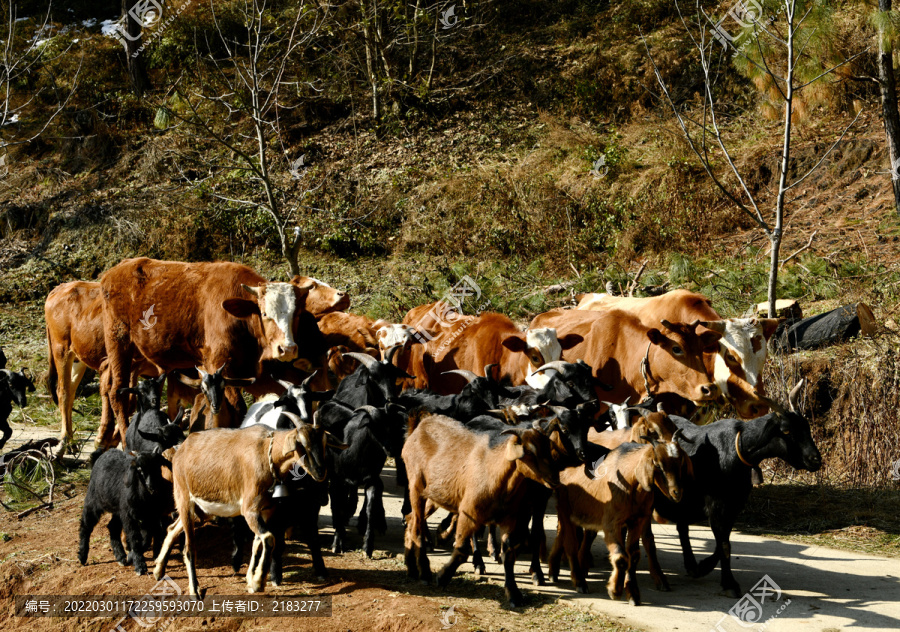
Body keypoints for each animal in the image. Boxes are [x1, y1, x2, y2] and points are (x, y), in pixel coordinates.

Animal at [78, 446, 170, 576]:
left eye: (157, 466)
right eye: (139, 469)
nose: (151, 485)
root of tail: (102, 454)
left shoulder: (150, 515)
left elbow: (147, 537)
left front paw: (132, 556)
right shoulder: (129, 515)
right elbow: (134, 537)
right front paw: (140, 565)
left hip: (118, 509)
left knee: (112, 527)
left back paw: (120, 557)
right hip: (93, 501)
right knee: (85, 526)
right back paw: (82, 556)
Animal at [402, 414, 560, 608]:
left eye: (548, 447)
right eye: (529, 452)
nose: (554, 478)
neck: (496, 474)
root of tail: (418, 428)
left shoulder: (510, 519)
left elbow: (509, 554)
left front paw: (513, 594)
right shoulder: (468, 512)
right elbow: (462, 550)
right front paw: (442, 577)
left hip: (434, 495)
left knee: (410, 519)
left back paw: (410, 567)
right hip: (416, 486)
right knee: (417, 526)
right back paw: (424, 573)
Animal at [548, 432, 688, 604]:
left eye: (680, 463)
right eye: (658, 465)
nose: (677, 492)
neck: (629, 480)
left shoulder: (637, 521)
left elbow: (633, 555)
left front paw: (633, 594)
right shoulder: (612, 524)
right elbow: (621, 557)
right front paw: (615, 590)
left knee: (562, 535)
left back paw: (554, 571)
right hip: (565, 510)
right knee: (570, 544)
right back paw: (580, 582)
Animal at [648, 380, 824, 596]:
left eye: (806, 427)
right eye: (786, 431)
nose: (815, 460)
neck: (736, 448)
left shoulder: (735, 504)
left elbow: (723, 541)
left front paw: (704, 566)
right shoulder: (716, 504)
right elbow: (724, 544)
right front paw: (729, 584)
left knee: (682, 526)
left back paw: (692, 566)